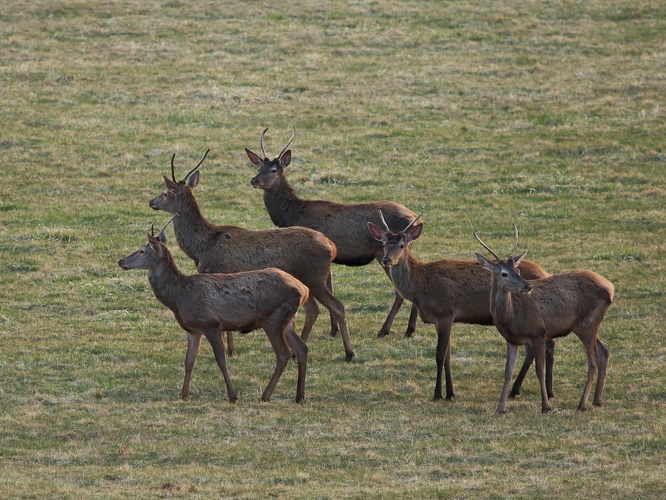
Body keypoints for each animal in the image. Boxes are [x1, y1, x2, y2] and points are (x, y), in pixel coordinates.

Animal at [116, 217, 308, 404]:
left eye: (142, 250)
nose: (120, 261)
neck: (178, 297)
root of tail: (304, 290)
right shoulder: (193, 330)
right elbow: (189, 361)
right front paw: (183, 395)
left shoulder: (210, 324)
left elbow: (221, 360)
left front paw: (232, 396)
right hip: (287, 321)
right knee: (302, 348)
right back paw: (299, 396)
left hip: (273, 319)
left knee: (283, 354)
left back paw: (265, 396)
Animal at [148, 146, 356, 362]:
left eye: (165, 193)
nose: (151, 201)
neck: (200, 248)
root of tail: (331, 246)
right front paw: (231, 349)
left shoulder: (216, 272)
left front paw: (230, 351)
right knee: (315, 310)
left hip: (314, 277)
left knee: (337, 306)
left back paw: (349, 352)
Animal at [244, 129, 420, 340]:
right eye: (259, 166)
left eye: (274, 170)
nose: (254, 180)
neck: (294, 214)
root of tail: (414, 218)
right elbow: (331, 288)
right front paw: (334, 328)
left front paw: (334, 329)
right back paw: (409, 329)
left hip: (383, 253)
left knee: (399, 291)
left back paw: (385, 329)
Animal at [366, 211, 552, 402]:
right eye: (384, 244)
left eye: (402, 245)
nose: (387, 259)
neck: (421, 288)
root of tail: (545, 272)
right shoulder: (441, 319)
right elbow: (448, 356)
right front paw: (450, 393)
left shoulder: (445, 313)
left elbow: (440, 356)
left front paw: (437, 394)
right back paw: (528, 390)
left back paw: (533, 390)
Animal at [472, 226, 612, 414]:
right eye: (504, 273)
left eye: (518, 271)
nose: (527, 286)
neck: (511, 317)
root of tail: (611, 288)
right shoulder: (511, 340)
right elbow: (508, 371)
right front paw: (499, 409)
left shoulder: (538, 333)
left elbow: (539, 369)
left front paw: (545, 406)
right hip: (585, 325)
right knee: (604, 353)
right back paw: (597, 401)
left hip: (587, 324)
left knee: (593, 361)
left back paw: (582, 404)